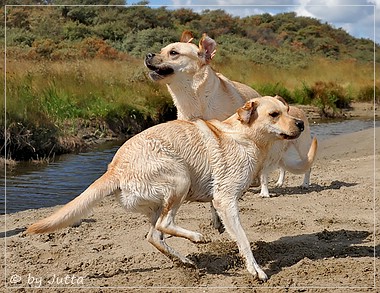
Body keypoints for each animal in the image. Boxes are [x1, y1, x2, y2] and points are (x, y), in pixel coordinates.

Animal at [27, 96, 318, 280]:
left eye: (288, 109)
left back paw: (183, 260)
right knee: (165, 224)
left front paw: (218, 227)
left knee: (153, 235)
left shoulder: (219, 199)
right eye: (274, 114)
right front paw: (256, 270)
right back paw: (196, 238)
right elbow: (244, 240)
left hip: (159, 201)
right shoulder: (226, 199)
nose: (301, 124)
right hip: (180, 178)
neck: (246, 136)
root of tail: (114, 169)